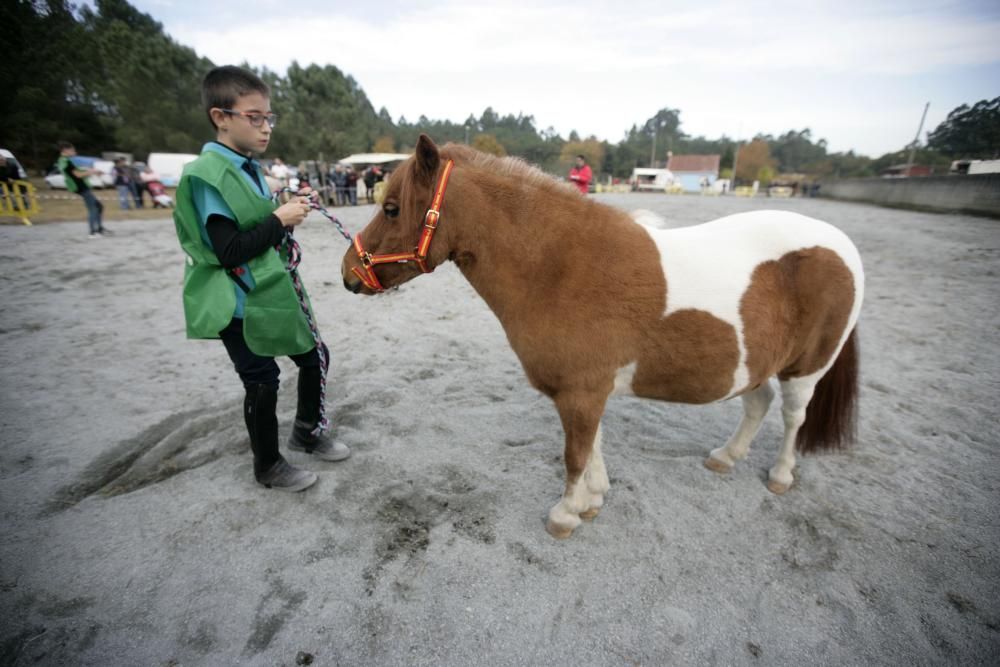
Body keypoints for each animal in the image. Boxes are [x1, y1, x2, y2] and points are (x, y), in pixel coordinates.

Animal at [340, 134, 864, 536]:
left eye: (392, 208)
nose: (348, 273)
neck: (560, 266)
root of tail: (842, 244)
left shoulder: (581, 392)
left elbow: (575, 454)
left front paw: (566, 514)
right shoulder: (588, 391)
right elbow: (594, 446)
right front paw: (593, 500)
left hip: (806, 368)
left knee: (793, 417)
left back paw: (780, 475)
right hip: (755, 362)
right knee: (758, 404)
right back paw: (726, 457)